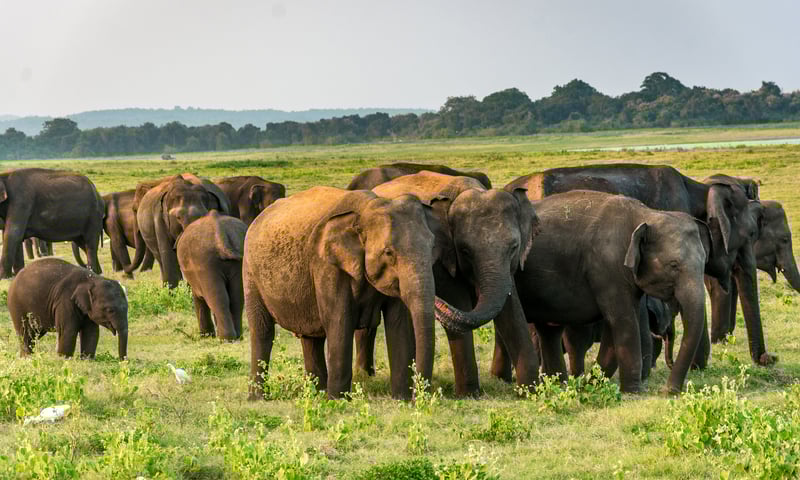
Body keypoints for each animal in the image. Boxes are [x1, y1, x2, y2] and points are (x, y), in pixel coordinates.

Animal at [177, 211, 247, 340]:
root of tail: (220, 233)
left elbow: (198, 299)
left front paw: (205, 336)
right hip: (239, 260)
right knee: (236, 298)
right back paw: (237, 336)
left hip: (205, 262)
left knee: (218, 298)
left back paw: (226, 338)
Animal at [244, 187, 489, 400]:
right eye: (388, 252)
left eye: (432, 249)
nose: (418, 397)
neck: (366, 210)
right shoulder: (327, 265)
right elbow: (339, 322)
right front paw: (338, 401)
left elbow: (399, 323)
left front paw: (400, 399)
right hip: (250, 273)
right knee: (262, 330)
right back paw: (259, 398)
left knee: (311, 338)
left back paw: (316, 394)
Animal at [357, 171, 540, 396]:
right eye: (465, 251)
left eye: (514, 247)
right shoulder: (443, 262)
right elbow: (459, 302)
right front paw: (469, 396)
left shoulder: (508, 269)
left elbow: (511, 312)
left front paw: (531, 392)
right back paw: (364, 376)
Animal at [503, 190, 708, 393]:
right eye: (673, 265)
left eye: (704, 262)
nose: (667, 391)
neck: (646, 214)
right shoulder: (607, 266)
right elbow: (623, 321)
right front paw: (632, 392)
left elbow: (615, 324)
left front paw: (593, 384)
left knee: (549, 330)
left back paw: (560, 384)